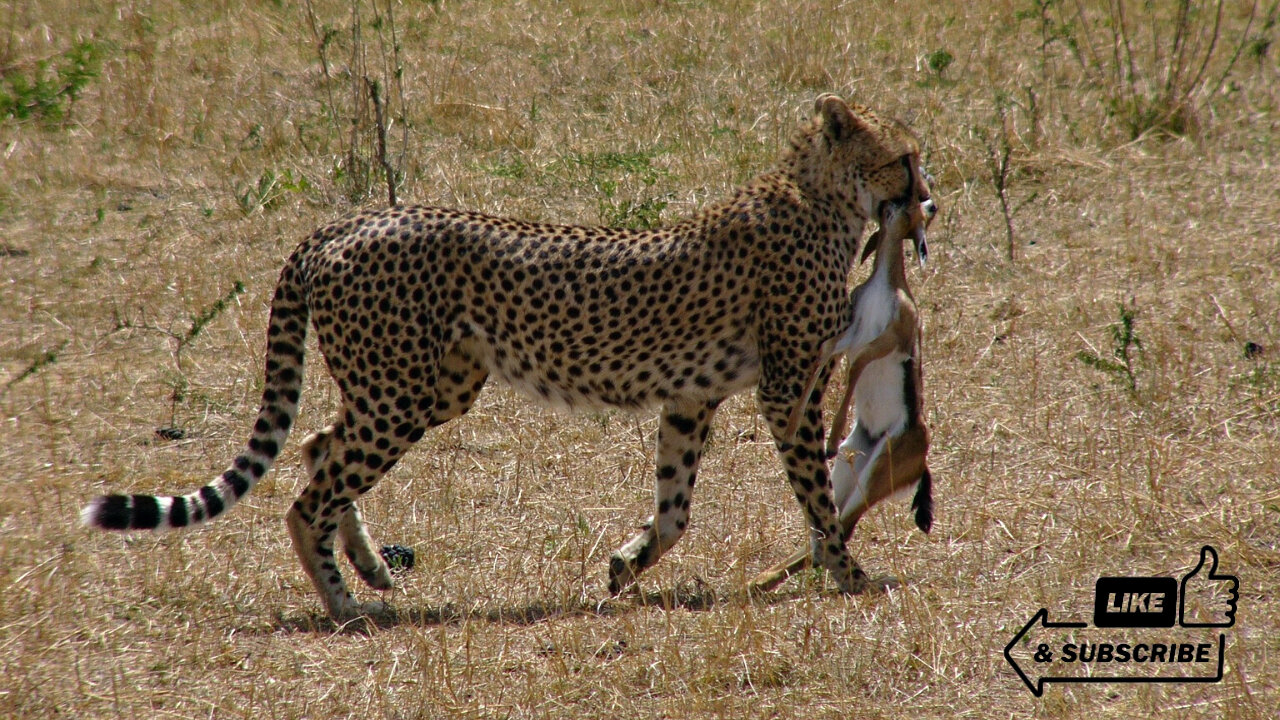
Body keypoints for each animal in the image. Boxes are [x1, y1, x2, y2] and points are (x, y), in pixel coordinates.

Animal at [82, 92, 942, 614]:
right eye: (903, 158)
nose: (929, 202)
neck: (820, 197)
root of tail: (342, 222)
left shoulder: (690, 397)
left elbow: (675, 509)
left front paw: (625, 564)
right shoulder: (788, 390)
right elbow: (817, 498)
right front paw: (851, 575)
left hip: (425, 386)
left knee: (319, 446)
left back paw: (370, 567)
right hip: (401, 393)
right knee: (309, 493)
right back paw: (344, 604)